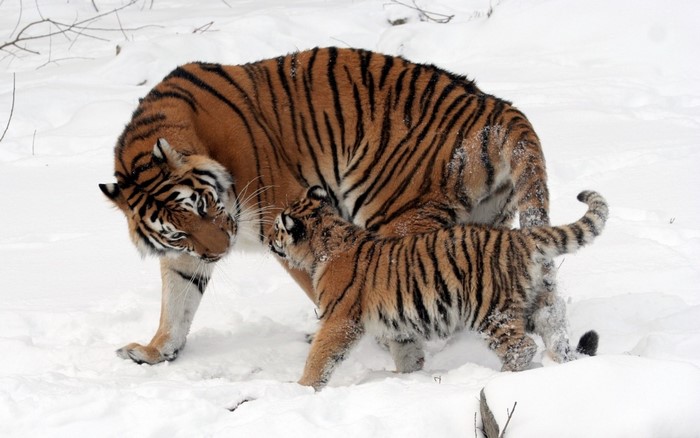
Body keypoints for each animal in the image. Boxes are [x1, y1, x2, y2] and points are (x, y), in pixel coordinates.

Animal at [100, 46, 568, 369]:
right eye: (177, 231)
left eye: (202, 205)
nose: (220, 251)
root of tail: (497, 107)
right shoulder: (186, 254)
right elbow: (176, 301)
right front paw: (155, 351)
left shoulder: (284, 215)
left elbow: (322, 284)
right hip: (489, 223)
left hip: (397, 215)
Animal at [268, 186, 607, 390]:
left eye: (277, 228)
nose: (269, 239)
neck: (327, 241)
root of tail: (520, 237)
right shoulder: (399, 326)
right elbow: (407, 354)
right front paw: (407, 377)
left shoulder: (339, 320)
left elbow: (320, 356)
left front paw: (301, 388)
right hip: (538, 303)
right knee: (555, 330)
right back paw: (564, 365)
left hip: (490, 311)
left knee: (521, 347)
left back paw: (500, 379)